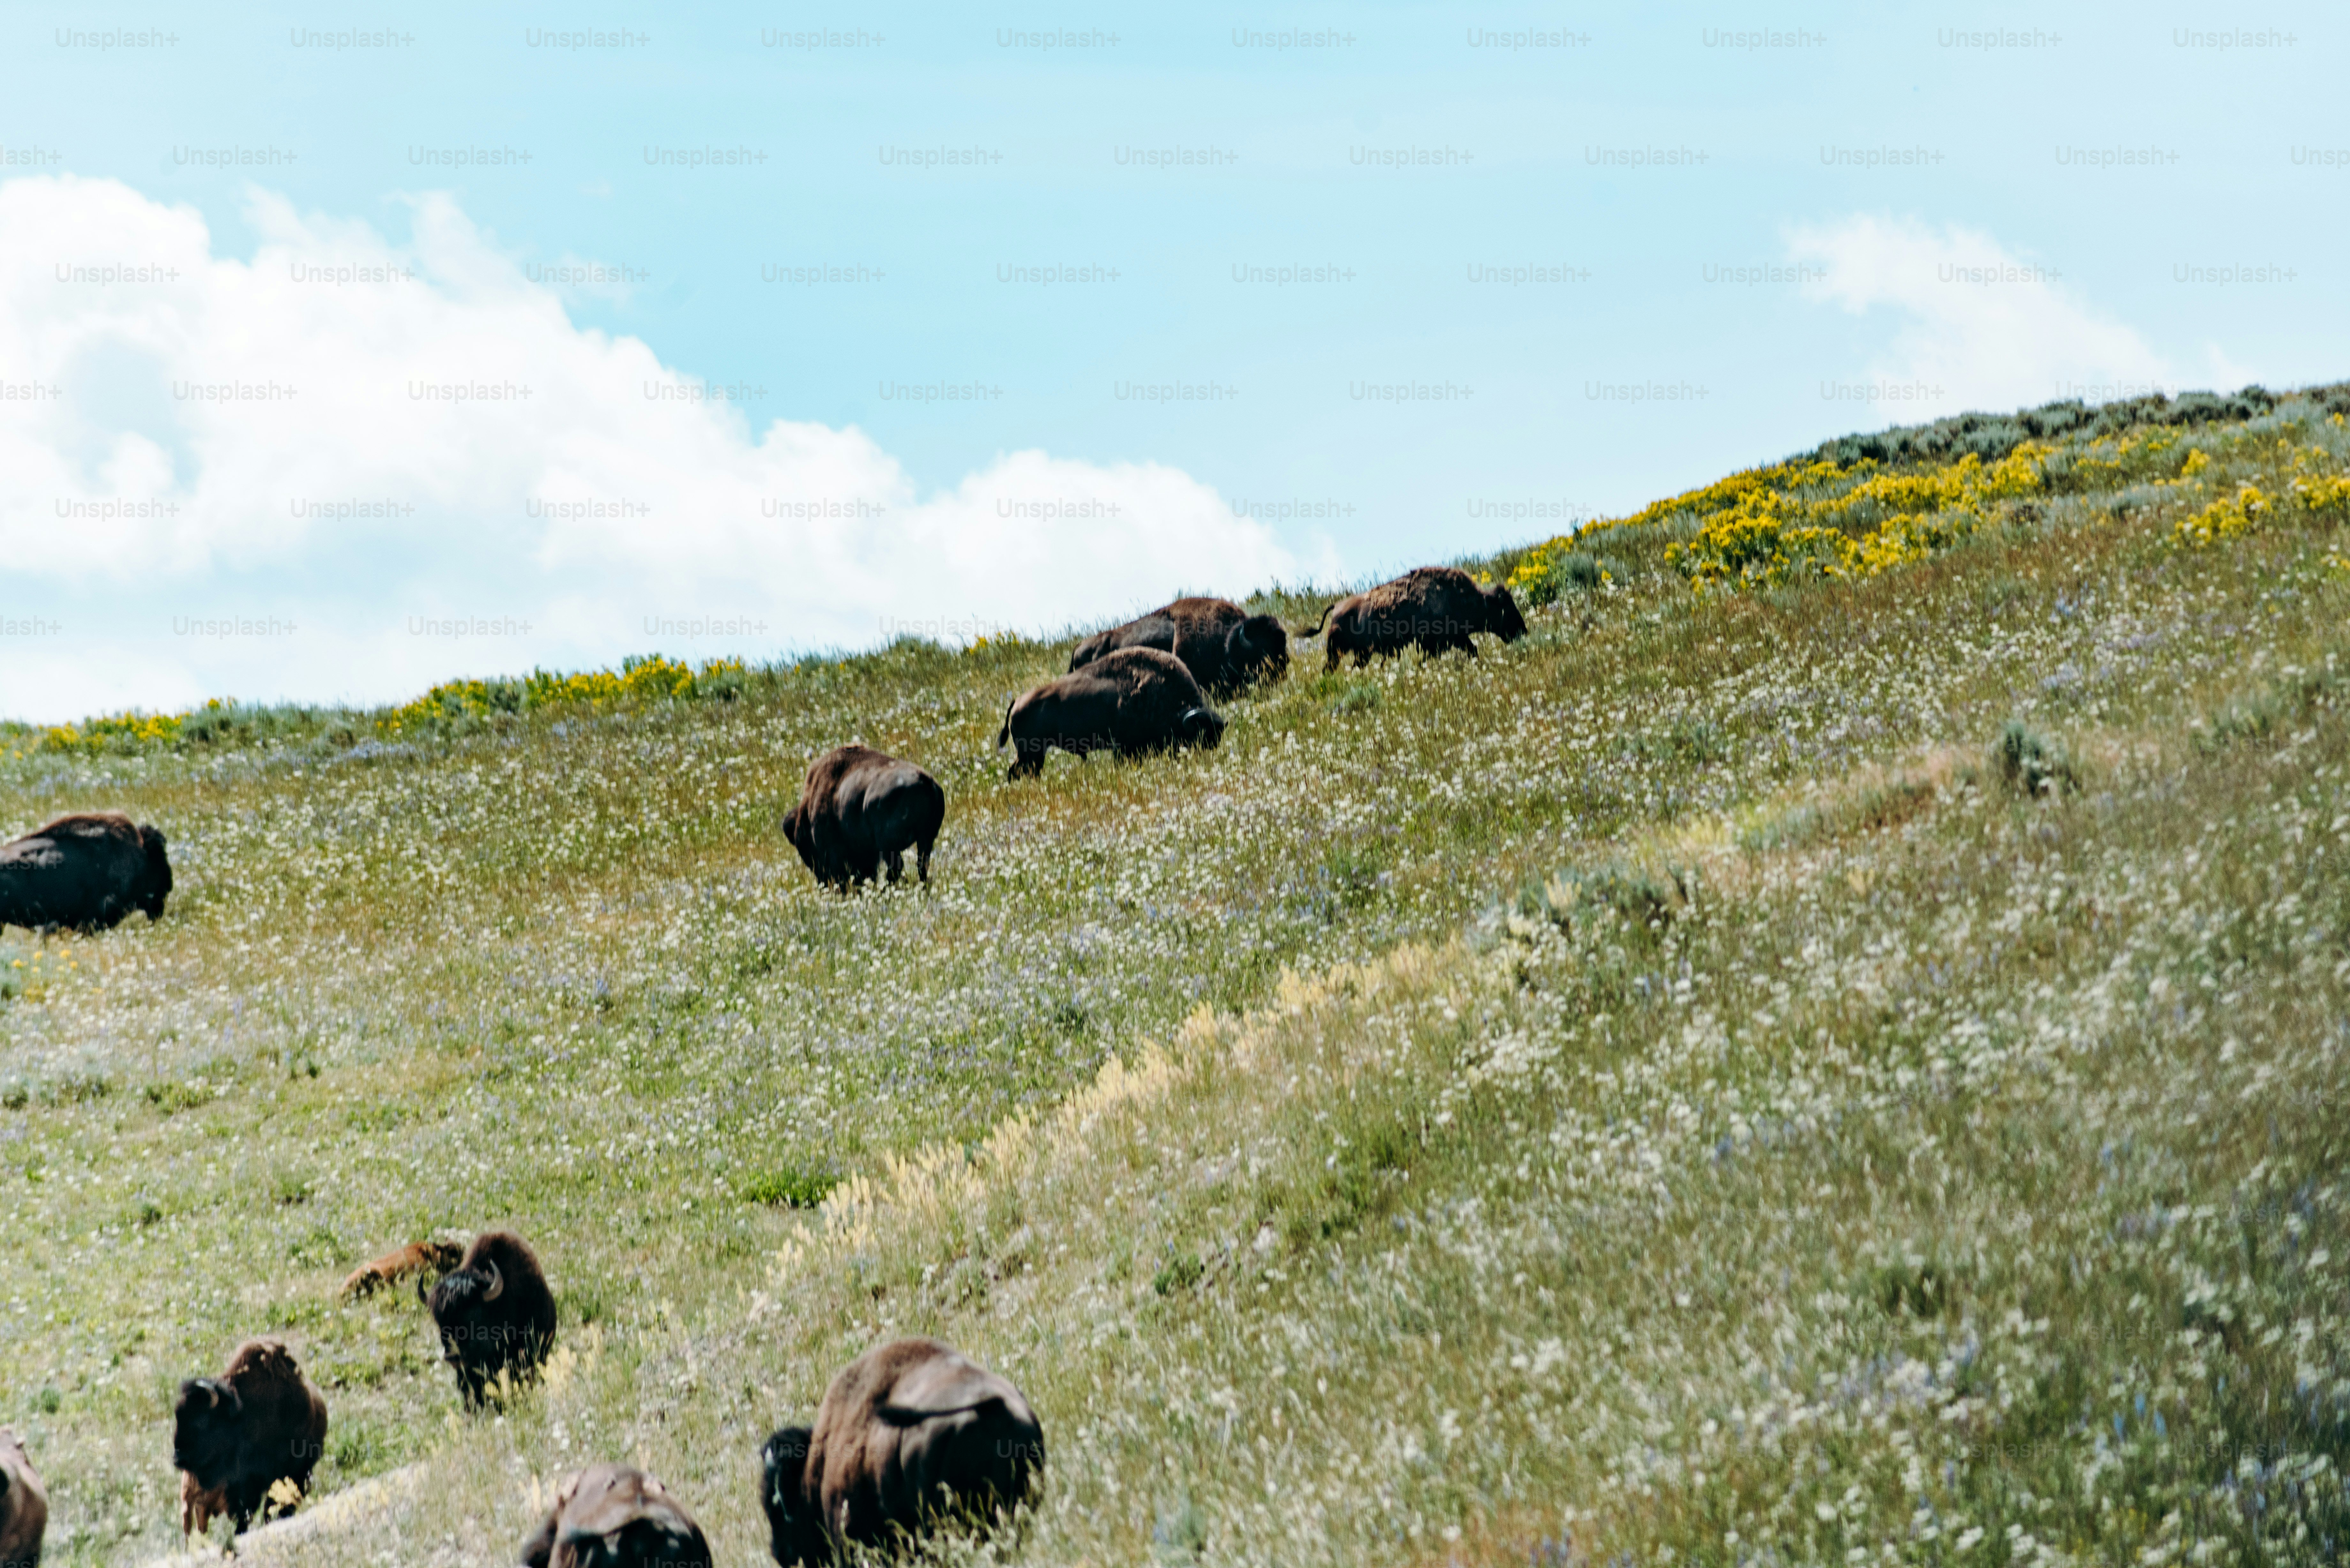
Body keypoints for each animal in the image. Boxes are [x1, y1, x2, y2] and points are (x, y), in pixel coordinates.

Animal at [782, 746, 946, 890]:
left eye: (804, 847)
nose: (822, 883)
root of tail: (926, 781)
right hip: (926, 839)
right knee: (921, 866)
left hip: (889, 845)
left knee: (896, 869)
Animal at [1301, 566, 1528, 671]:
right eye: (1507, 608)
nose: (1523, 631)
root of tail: (1337, 608)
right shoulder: (1439, 642)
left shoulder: (1454, 640)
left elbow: (1472, 649)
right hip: (1341, 652)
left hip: (1358, 654)